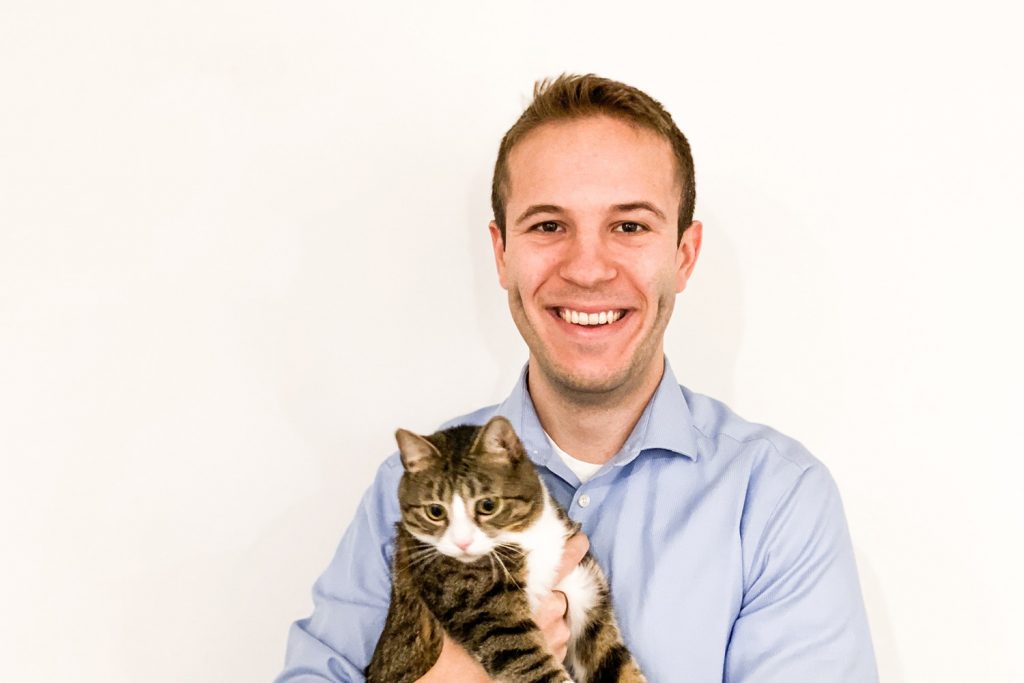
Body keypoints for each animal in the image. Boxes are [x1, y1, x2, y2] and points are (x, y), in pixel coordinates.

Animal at [364, 413, 643, 679]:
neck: (527, 537)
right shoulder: (485, 611)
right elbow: (529, 661)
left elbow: (614, 660)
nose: (462, 542)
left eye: (488, 505)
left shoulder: (586, 593)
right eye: (435, 511)